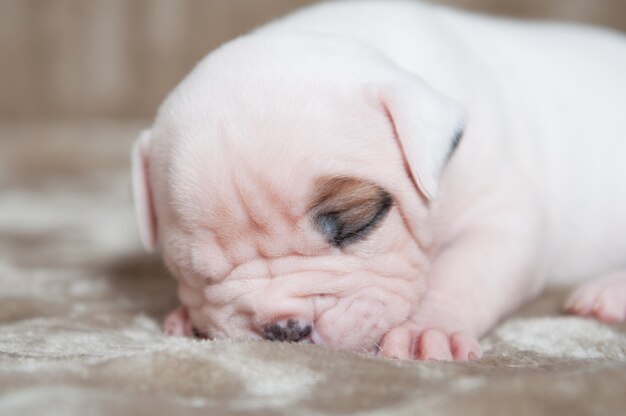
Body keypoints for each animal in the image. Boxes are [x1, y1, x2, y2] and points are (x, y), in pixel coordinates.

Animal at [130, 0, 624, 360]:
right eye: (194, 273)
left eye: (360, 224)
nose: (286, 327)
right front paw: (184, 314)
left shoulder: (501, 219)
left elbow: (461, 274)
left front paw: (427, 329)